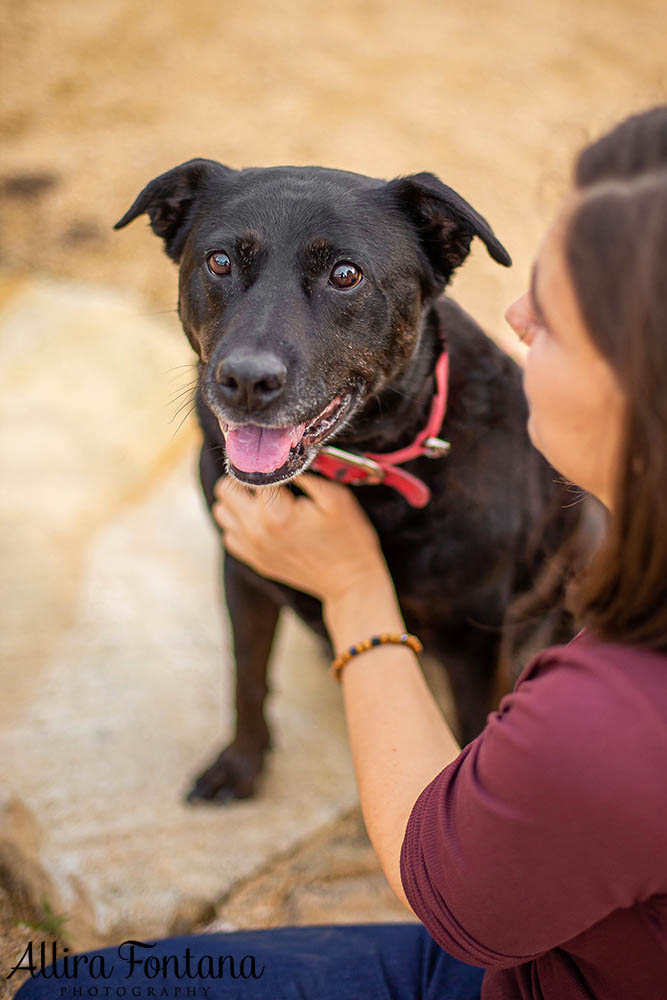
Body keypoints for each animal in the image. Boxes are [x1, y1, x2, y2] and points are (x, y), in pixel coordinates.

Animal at [117, 164, 588, 804]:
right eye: (219, 261)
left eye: (345, 274)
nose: (246, 381)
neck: (358, 466)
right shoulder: (243, 571)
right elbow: (247, 678)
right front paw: (240, 766)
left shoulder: (473, 644)